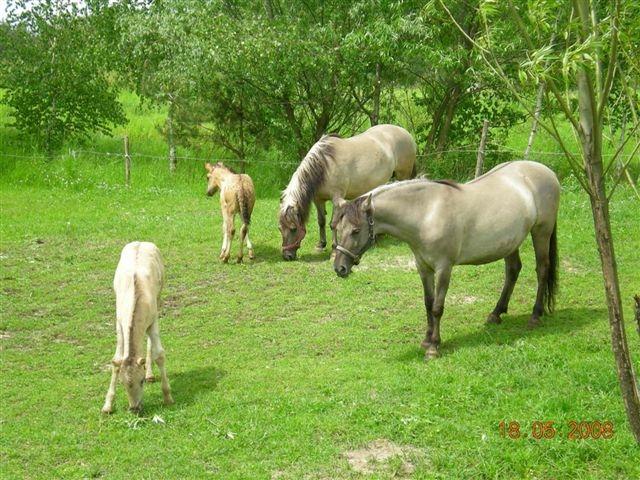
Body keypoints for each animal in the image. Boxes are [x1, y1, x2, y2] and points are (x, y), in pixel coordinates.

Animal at [278, 123, 418, 258]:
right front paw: (321, 245)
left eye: (293, 229)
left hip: (403, 176)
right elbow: (321, 221)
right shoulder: (318, 199)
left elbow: (333, 224)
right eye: (280, 228)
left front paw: (334, 250)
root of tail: (405, 132)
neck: (325, 165)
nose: (287, 256)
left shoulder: (337, 200)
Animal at [332, 161, 556, 360]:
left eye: (355, 230)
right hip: (510, 242)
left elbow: (437, 307)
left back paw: (535, 316)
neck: (426, 214)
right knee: (513, 271)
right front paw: (426, 339)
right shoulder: (423, 268)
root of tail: (546, 171)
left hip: (541, 232)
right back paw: (496, 314)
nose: (339, 268)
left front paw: (433, 347)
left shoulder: (443, 268)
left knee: (542, 270)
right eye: (336, 228)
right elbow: (427, 303)